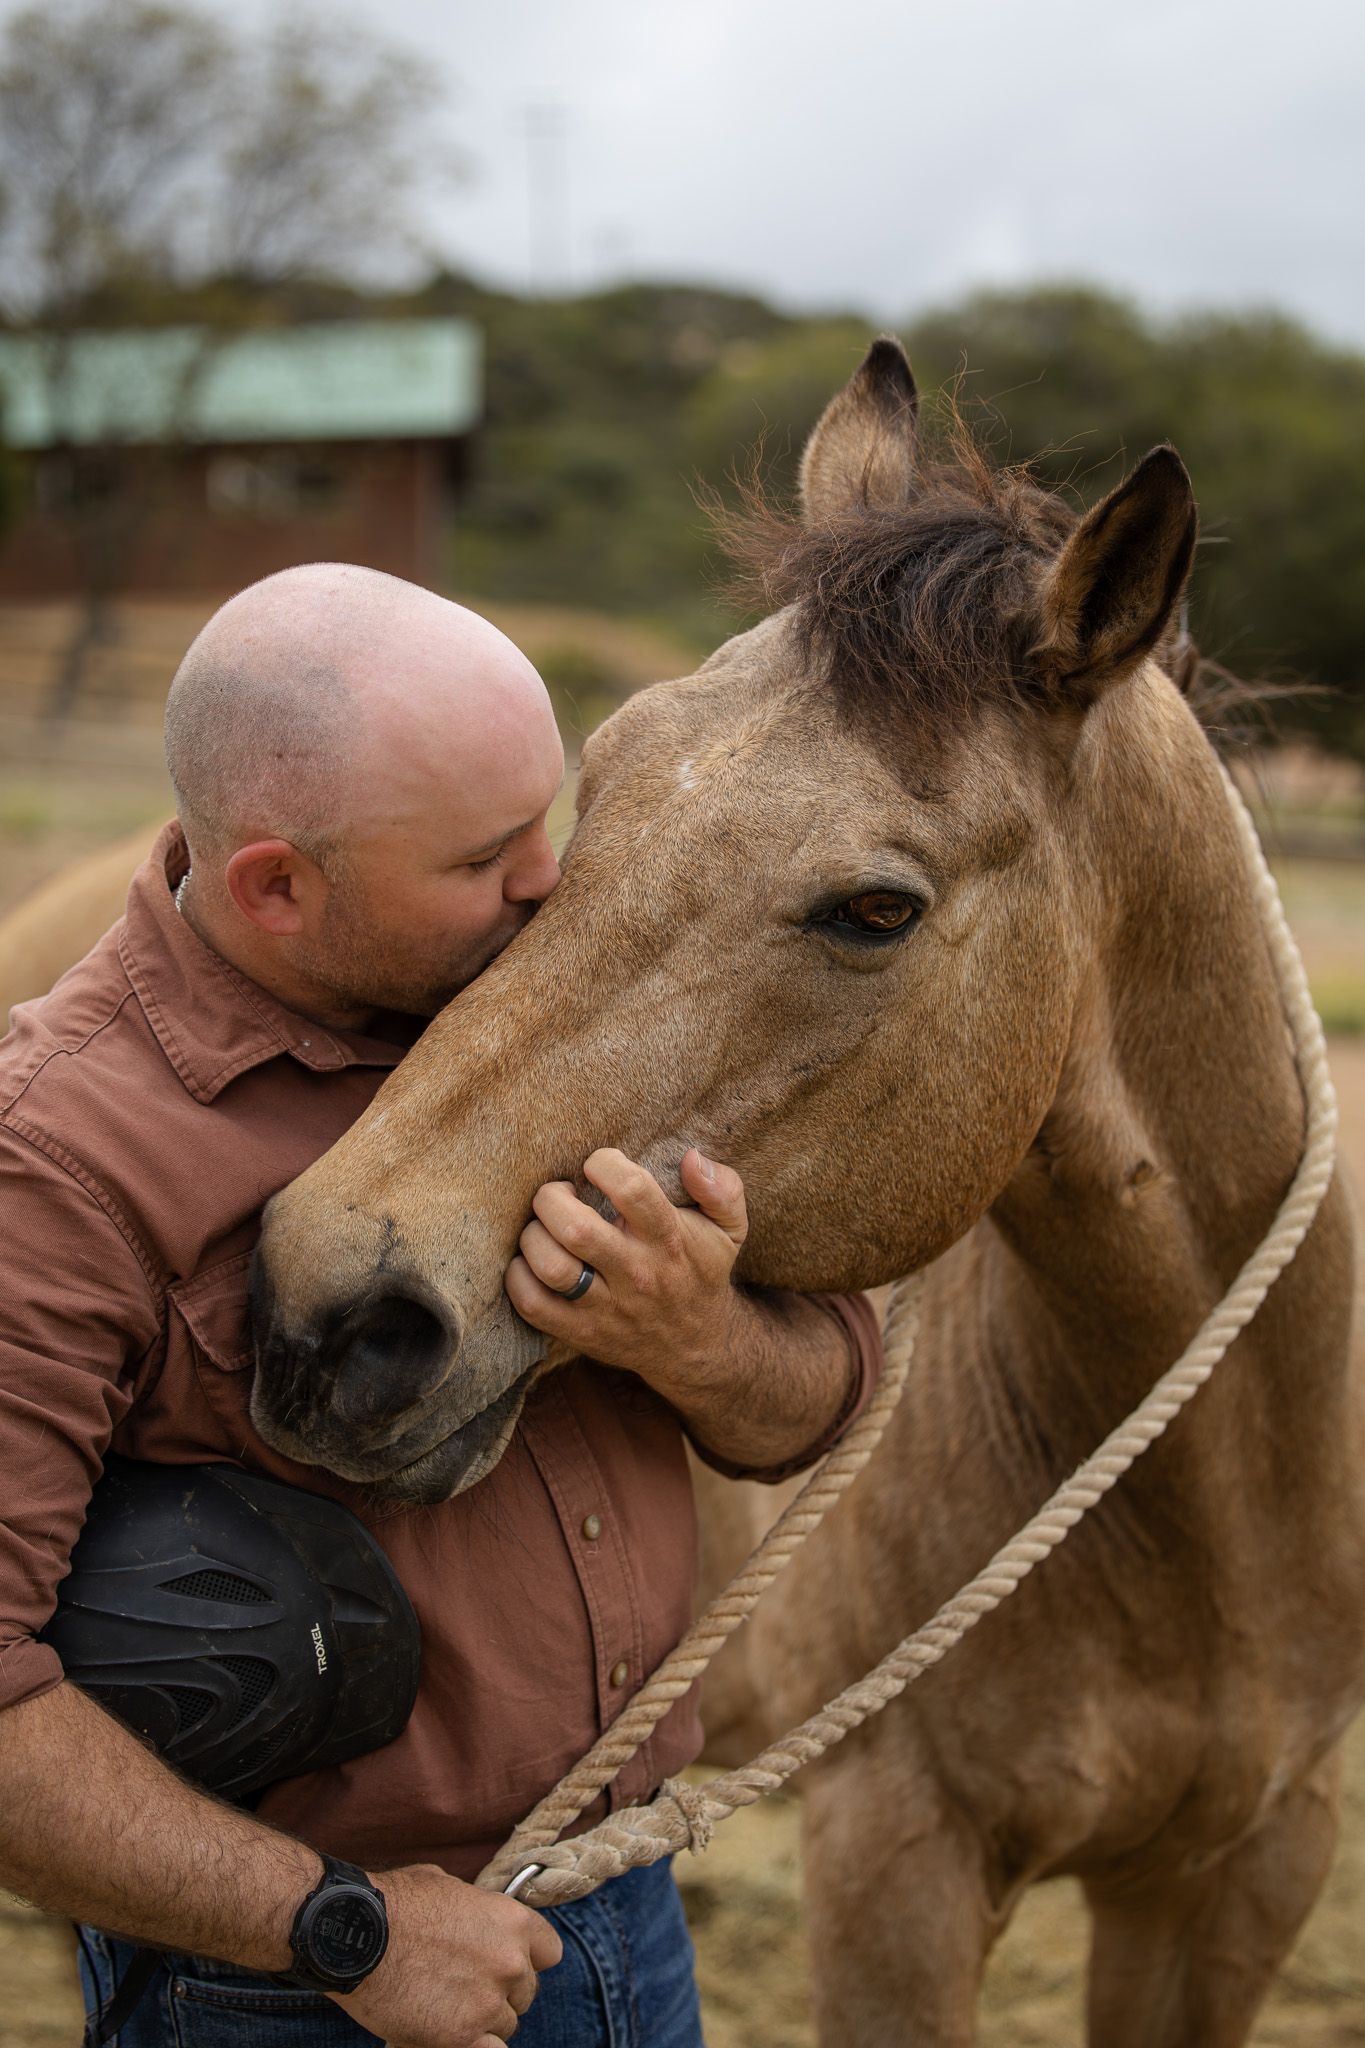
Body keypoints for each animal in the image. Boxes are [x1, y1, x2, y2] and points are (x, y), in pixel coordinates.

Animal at [250, 339, 1365, 2046]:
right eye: (599, 776)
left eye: (872, 909)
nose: (332, 1302)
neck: (1208, 1526)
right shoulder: (894, 1860)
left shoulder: (1242, 1874)